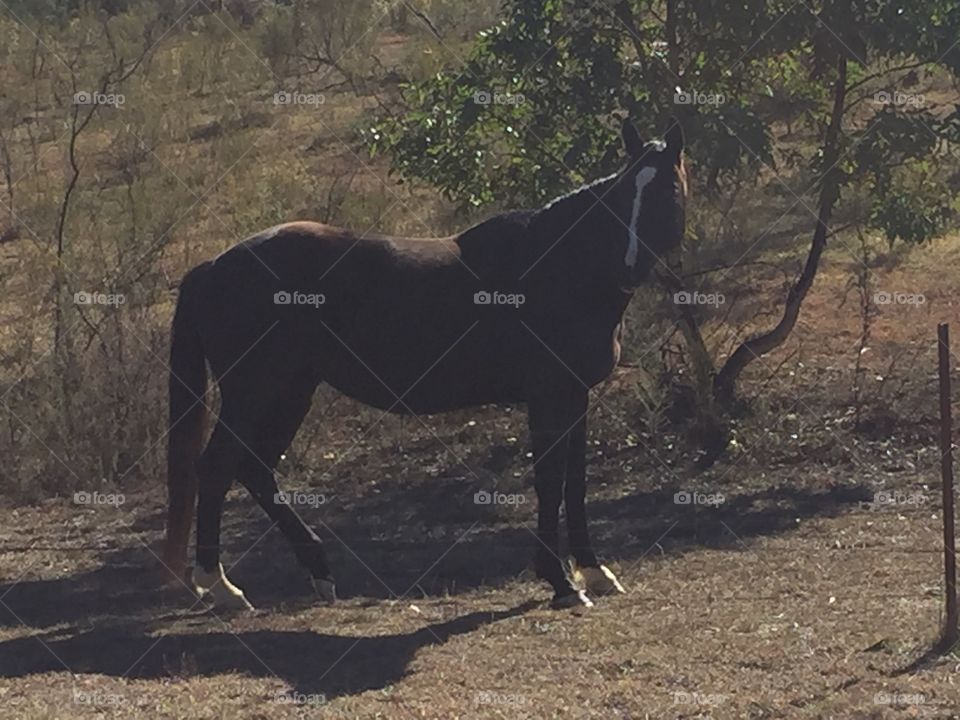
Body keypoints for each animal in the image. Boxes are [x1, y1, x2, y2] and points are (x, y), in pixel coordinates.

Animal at [167, 118, 688, 608]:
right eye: (624, 192)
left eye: (667, 189)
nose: (628, 265)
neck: (559, 267)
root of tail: (213, 267)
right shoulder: (549, 398)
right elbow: (550, 483)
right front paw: (561, 582)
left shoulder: (575, 396)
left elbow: (574, 484)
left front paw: (594, 573)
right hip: (255, 393)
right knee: (217, 467)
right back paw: (221, 587)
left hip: (291, 392)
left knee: (254, 469)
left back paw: (317, 572)